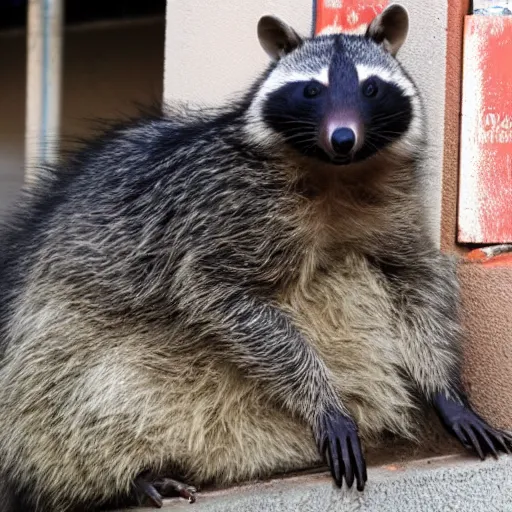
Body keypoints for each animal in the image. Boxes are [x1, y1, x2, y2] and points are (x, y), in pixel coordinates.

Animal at [1, 4, 512, 512]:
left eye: (370, 88)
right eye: (311, 89)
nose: (343, 137)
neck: (336, 172)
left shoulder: (395, 213)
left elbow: (416, 283)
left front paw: (446, 391)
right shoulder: (224, 205)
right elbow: (215, 291)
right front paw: (322, 398)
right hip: (57, 375)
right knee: (86, 401)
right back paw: (128, 475)